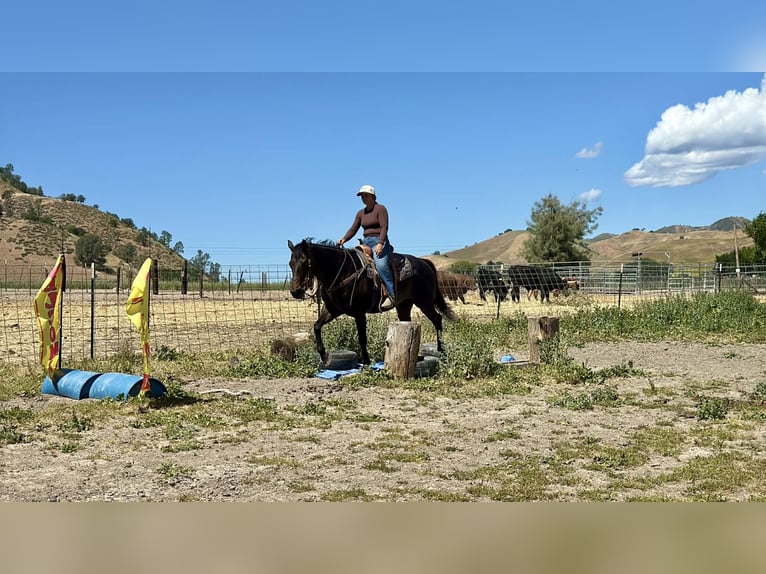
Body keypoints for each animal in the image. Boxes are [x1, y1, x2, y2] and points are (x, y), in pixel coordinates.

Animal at [287, 238, 456, 365]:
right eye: (290, 263)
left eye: (305, 261)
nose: (295, 291)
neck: (342, 272)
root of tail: (423, 262)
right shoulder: (332, 310)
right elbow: (316, 326)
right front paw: (324, 356)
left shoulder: (359, 313)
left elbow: (362, 338)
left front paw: (367, 362)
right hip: (404, 305)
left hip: (424, 302)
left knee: (437, 319)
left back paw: (441, 350)